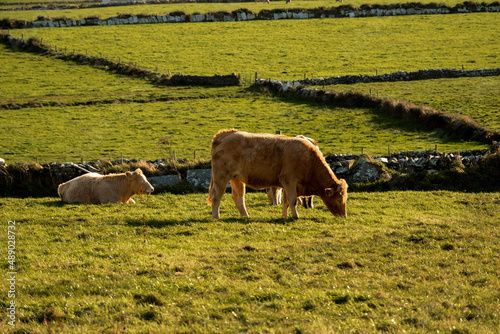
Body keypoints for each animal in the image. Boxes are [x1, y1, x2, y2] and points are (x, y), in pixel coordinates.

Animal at [207, 130, 348, 219]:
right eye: (339, 200)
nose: (344, 216)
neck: (309, 160)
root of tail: (226, 133)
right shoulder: (290, 181)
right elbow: (292, 201)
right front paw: (295, 216)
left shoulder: (287, 184)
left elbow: (286, 201)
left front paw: (284, 216)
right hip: (221, 176)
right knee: (216, 196)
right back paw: (216, 216)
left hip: (237, 179)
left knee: (239, 197)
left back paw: (245, 216)